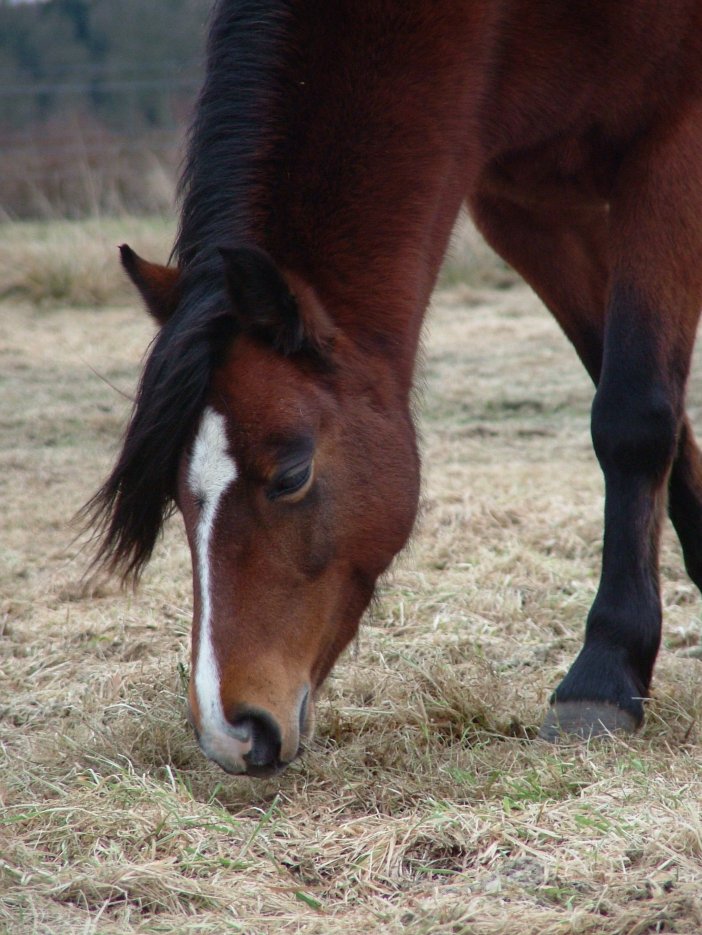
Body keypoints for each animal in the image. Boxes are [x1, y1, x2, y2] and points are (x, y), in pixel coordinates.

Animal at [86, 0, 702, 776]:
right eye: (174, 491)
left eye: (291, 474)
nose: (232, 732)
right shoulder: (521, 201)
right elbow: (648, 401)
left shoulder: (671, 143)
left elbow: (634, 413)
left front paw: (605, 673)